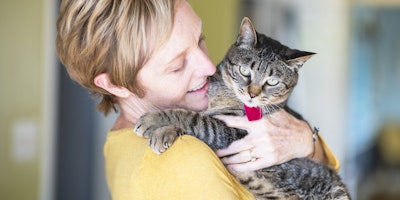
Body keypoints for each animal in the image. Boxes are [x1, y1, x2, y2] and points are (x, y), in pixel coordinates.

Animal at [135, 17, 350, 200]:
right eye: (245, 71)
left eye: (272, 81)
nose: (252, 94)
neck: (222, 94)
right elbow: (194, 115)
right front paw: (164, 131)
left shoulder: (231, 130)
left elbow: (192, 118)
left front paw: (153, 122)